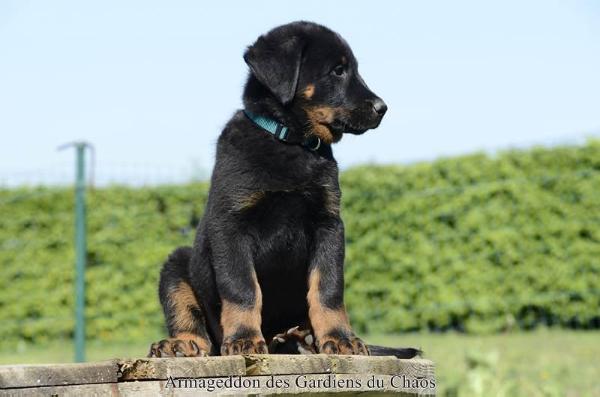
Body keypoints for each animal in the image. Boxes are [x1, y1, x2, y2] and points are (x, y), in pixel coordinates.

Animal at [150, 20, 418, 358]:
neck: (291, 142)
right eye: (337, 71)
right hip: (177, 264)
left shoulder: (329, 224)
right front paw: (243, 338)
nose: (382, 108)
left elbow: (328, 288)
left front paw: (340, 337)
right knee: (194, 324)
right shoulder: (231, 225)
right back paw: (181, 344)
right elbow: (242, 287)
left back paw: (302, 339)